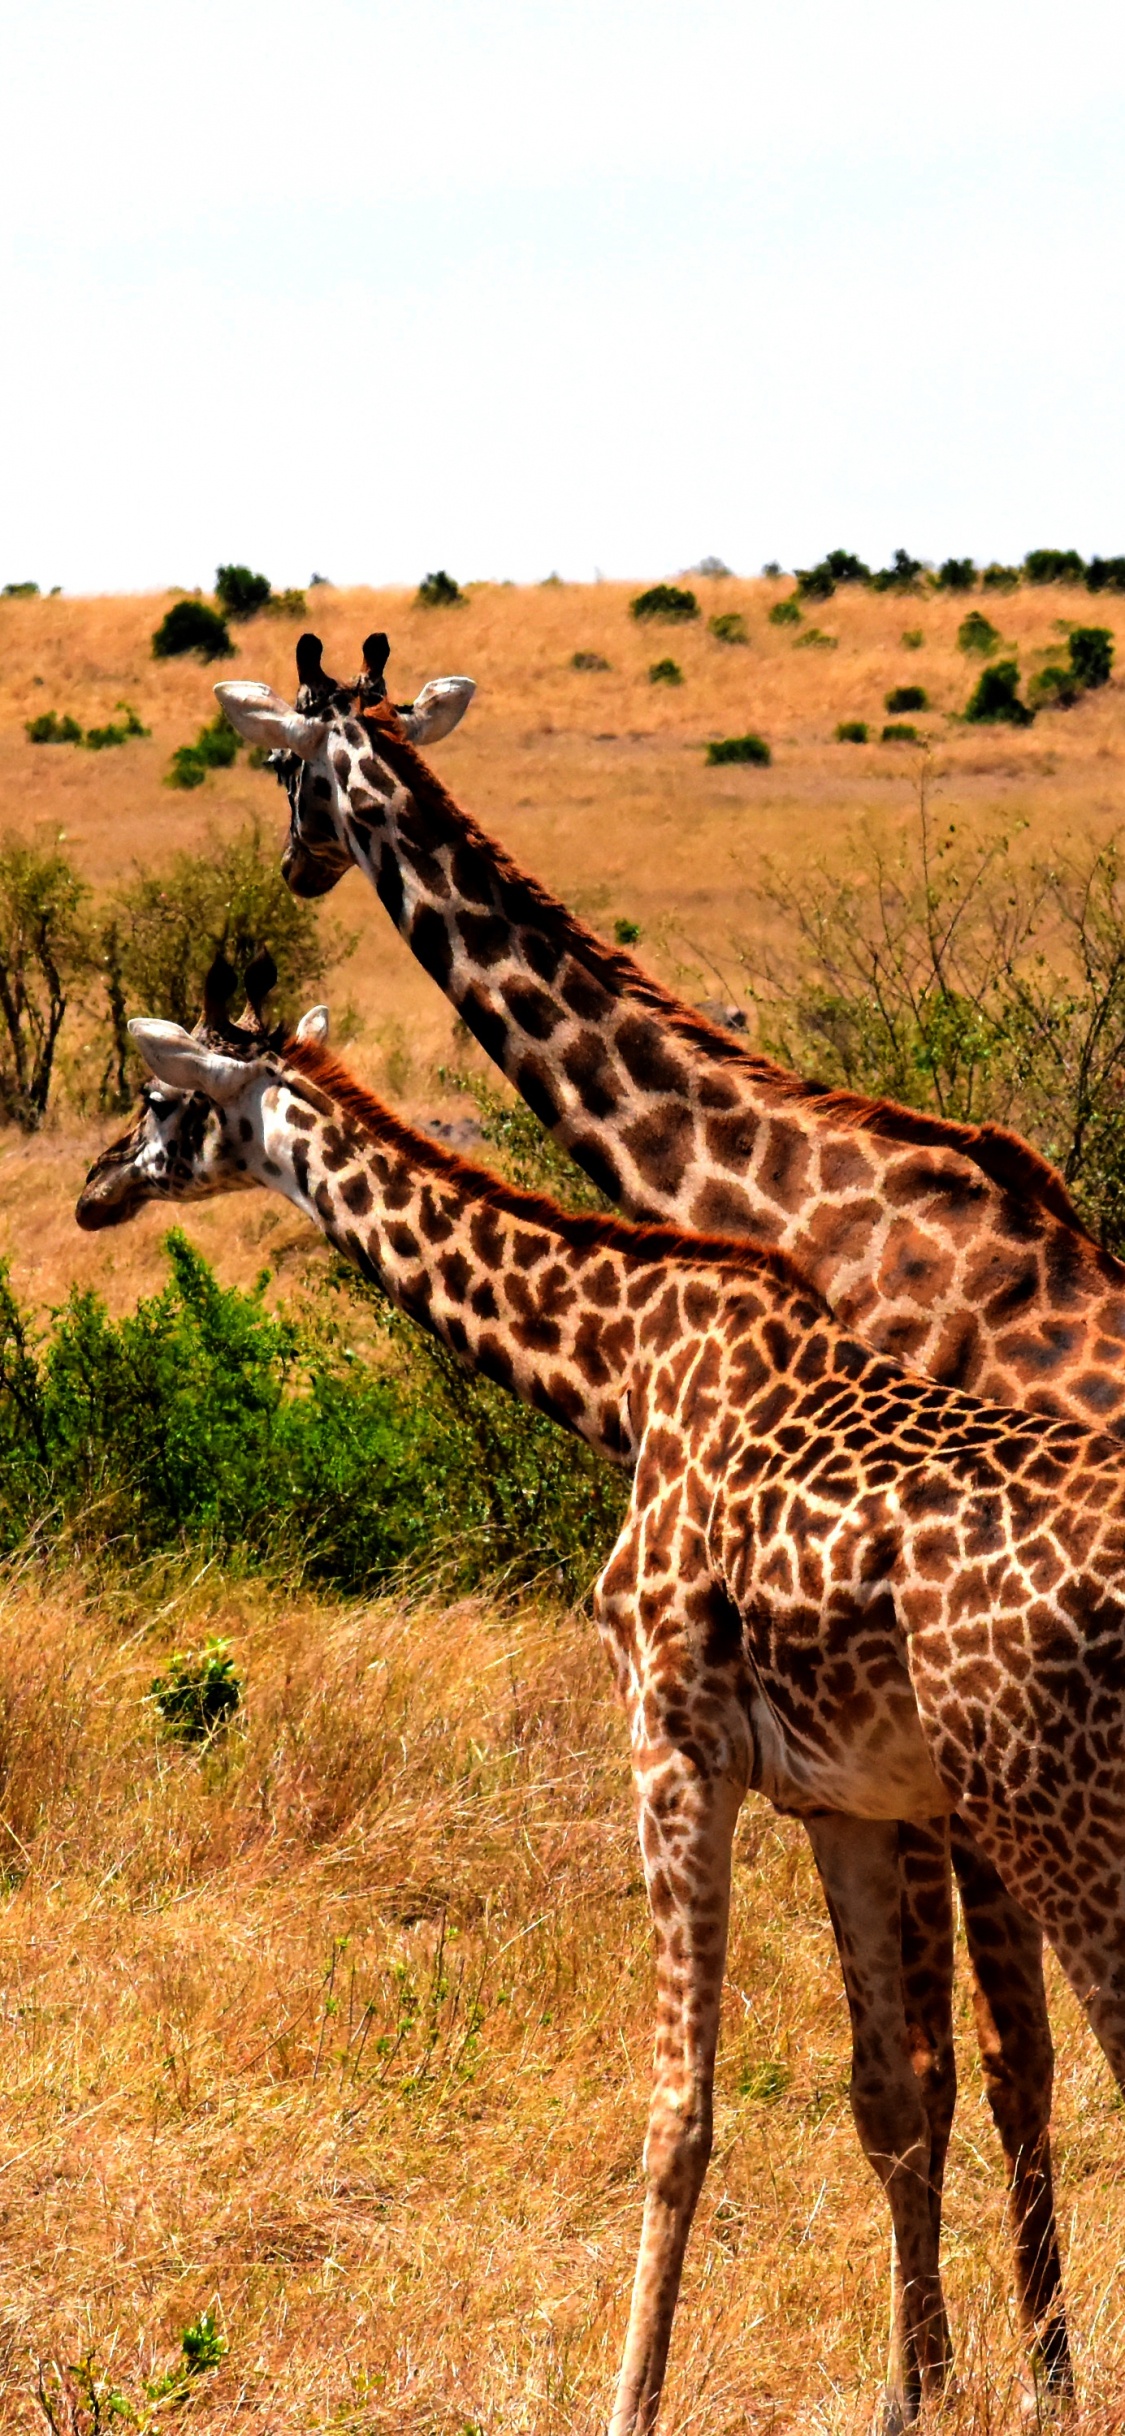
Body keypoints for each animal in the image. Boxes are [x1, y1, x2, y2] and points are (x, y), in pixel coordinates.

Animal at [205, 637, 1125, 2409]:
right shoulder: (890, 1761)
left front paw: (1014, 2383)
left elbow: (985, 2065)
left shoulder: (910, 1749)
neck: (801, 1198)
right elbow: (950, 2074)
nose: (290, 869)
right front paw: (980, 2375)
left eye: (283, 774)